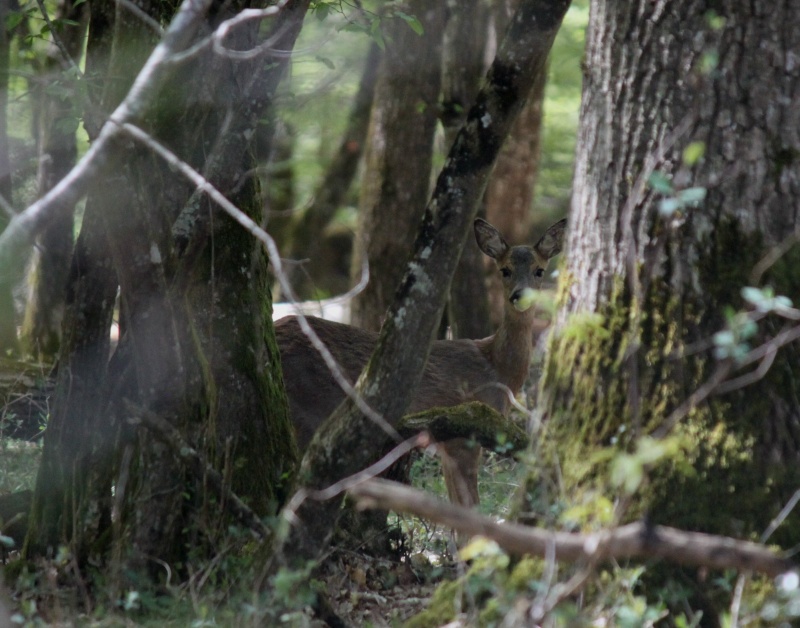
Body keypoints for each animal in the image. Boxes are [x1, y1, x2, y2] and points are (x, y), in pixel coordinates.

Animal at [278, 218, 564, 508]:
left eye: (539, 270)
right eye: (505, 270)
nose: (520, 295)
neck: (497, 368)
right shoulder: (465, 432)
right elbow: (468, 506)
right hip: (309, 410)